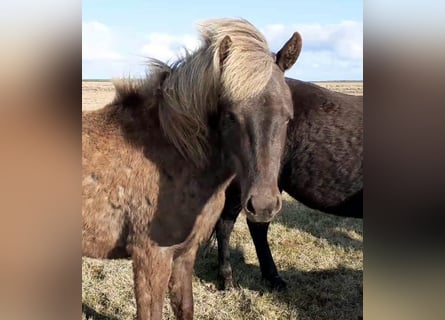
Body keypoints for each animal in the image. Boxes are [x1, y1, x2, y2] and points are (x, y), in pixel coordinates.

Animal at [82, 18, 302, 318]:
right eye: (231, 116)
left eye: (287, 116)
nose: (263, 206)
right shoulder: (151, 257)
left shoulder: (184, 254)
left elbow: (184, 307)